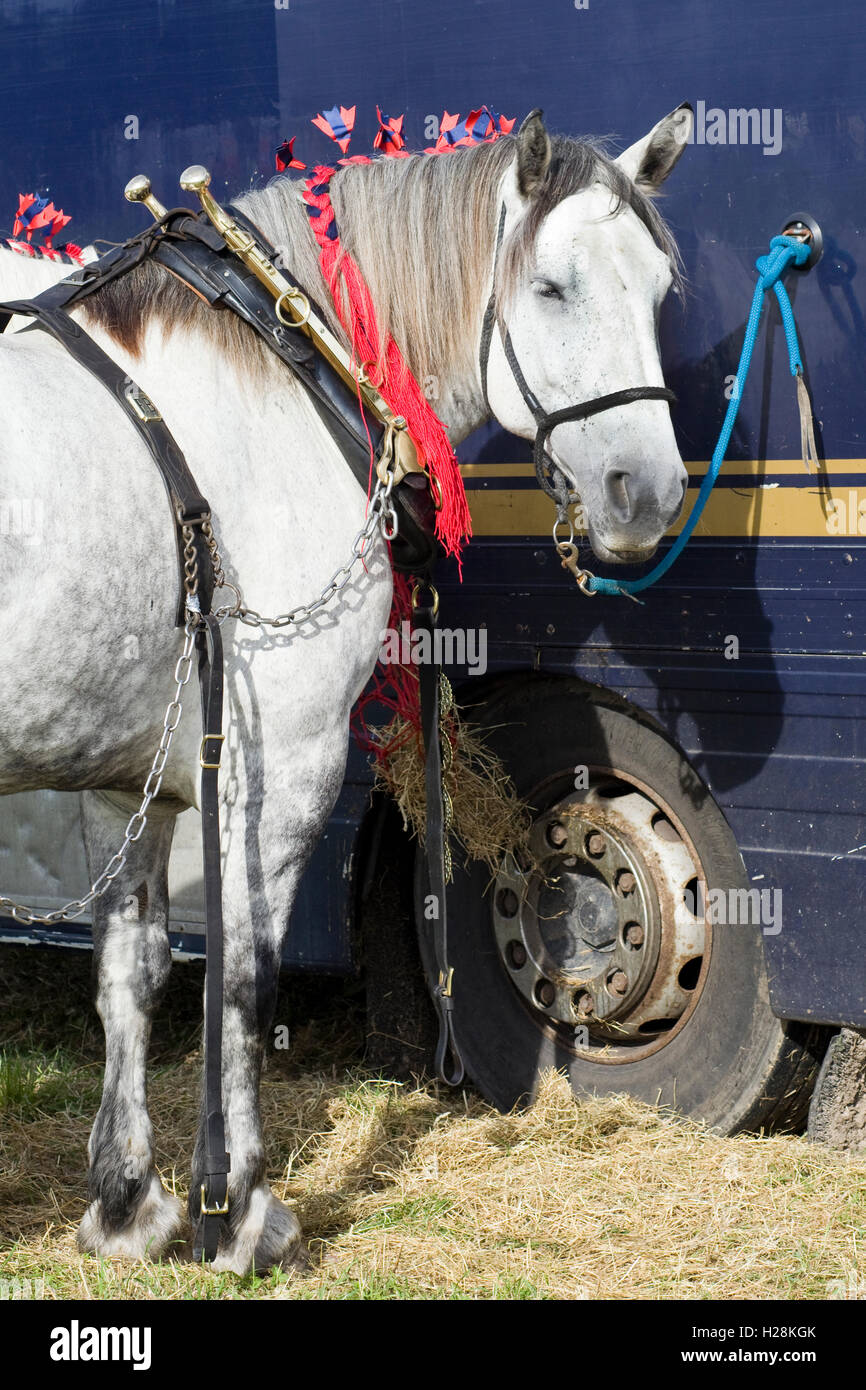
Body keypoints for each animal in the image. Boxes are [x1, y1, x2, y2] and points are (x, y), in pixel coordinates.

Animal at [0, 103, 692, 1274]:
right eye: (551, 288)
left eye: (657, 289)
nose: (643, 493)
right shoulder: (281, 765)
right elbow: (243, 977)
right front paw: (239, 1211)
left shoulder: (134, 773)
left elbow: (131, 967)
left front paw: (131, 1202)